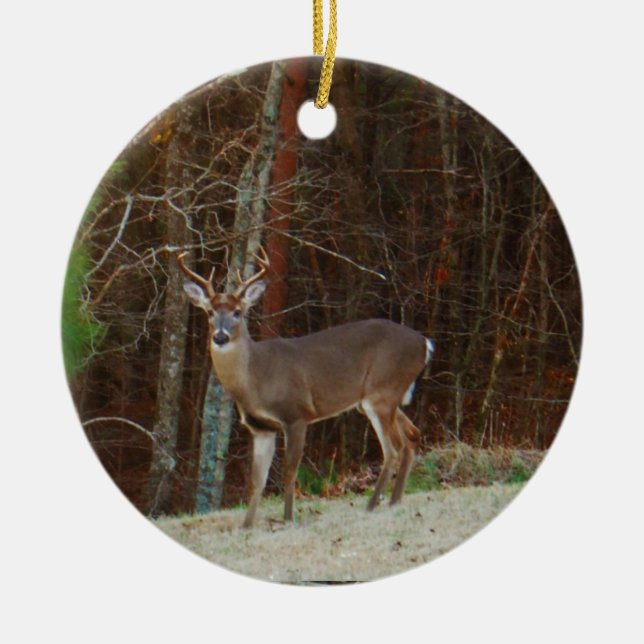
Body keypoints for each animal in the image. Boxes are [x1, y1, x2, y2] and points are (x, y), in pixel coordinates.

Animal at [178, 246, 434, 528]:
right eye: (210, 312)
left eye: (238, 312)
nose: (221, 337)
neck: (255, 379)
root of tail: (424, 343)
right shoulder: (261, 428)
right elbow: (257, 481)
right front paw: (246, 526)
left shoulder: (296, 415)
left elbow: (289, 472)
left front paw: (287, 519)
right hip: (381, 398)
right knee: (412, 436)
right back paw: (394, 501)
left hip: (381, 392)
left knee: (393, 449)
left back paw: (371, 506)